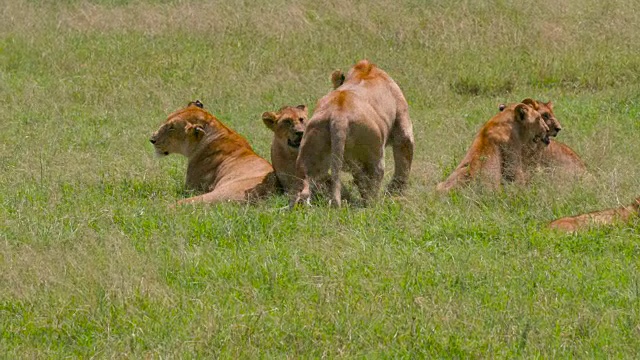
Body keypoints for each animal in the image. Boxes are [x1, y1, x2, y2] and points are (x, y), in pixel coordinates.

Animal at [290, 59, 416, 208]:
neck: (365, 71)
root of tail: (339, 116)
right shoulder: (404, 130)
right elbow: (403, 166)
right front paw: (395, 195)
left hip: (309, 154)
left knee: (303, 191)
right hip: (373, 157)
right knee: (371, 186)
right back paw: (373, 206)